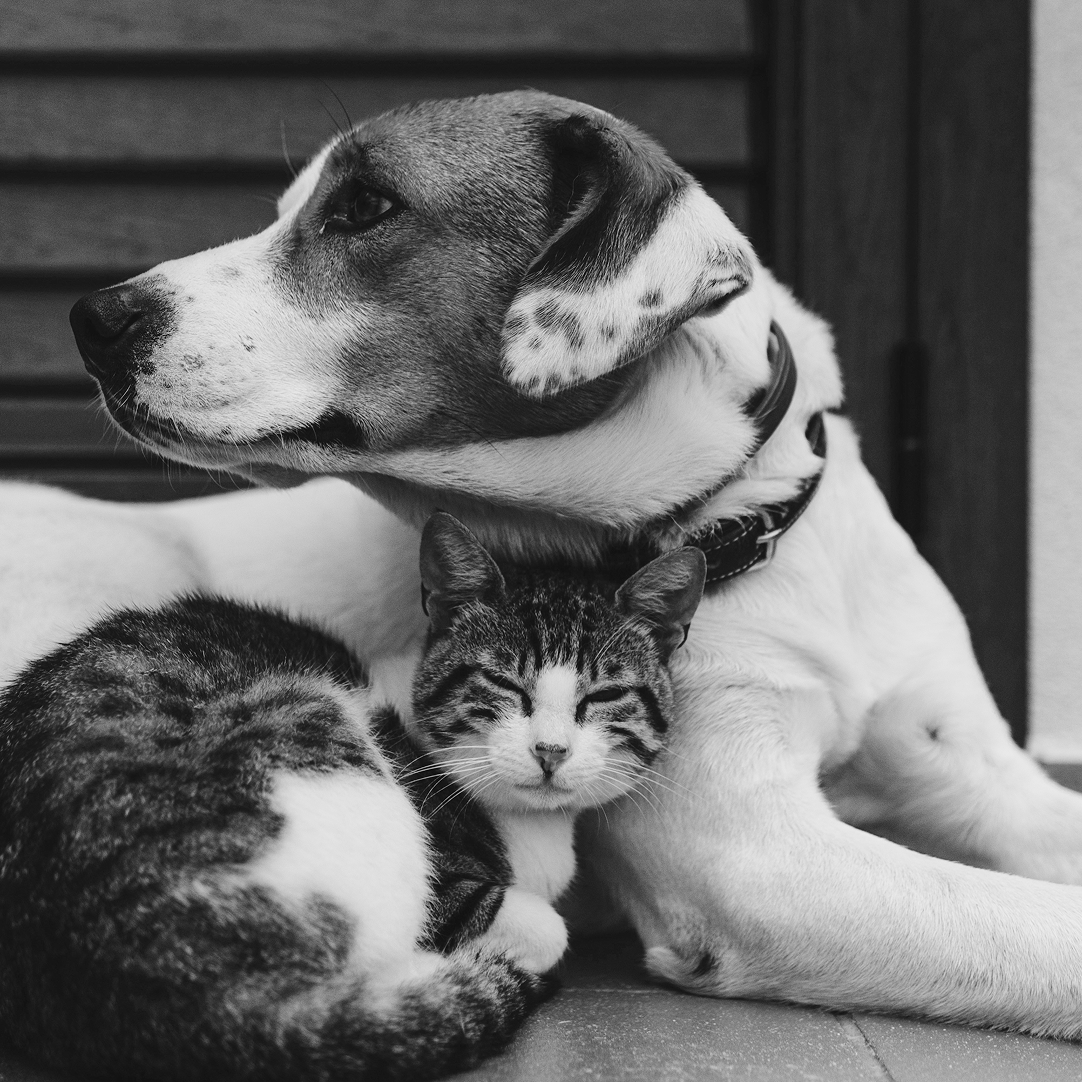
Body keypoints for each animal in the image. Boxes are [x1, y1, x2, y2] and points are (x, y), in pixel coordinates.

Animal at [0, 512, 705, 1082]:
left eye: (603, 696)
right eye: (504, 684)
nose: (551, 751)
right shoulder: (450, 882)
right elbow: (542, 925)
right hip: (318, 743)